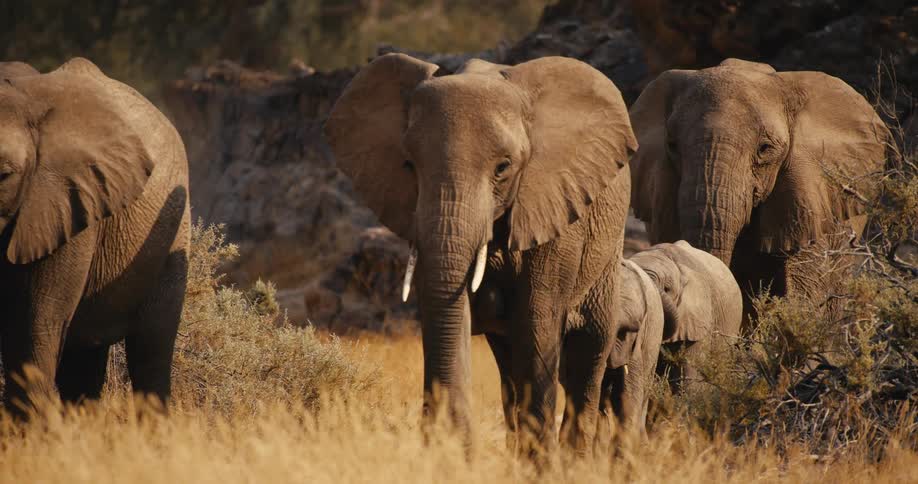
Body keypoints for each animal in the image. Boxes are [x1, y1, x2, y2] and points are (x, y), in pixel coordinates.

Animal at [325, 53, 637, 453]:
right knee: (508, 363)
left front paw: (541, 461)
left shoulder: (555, 215)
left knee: (589, 350)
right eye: (409, 165)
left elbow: (537, 325)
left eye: (503, 168)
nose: (437, 430)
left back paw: (575, 458)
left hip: (607, 250)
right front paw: (452, 447)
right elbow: (450, 312)